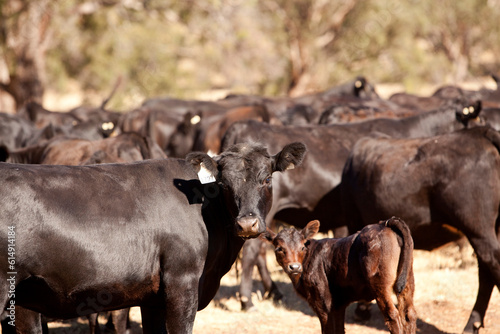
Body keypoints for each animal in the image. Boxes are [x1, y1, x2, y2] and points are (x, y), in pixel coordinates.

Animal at [264, 218, 416, 332]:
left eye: (302, 247)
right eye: (279, 248)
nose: (294, 267)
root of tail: (385, 223)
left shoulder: (323, 304)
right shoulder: (338, 305)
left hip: (379, 283)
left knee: (393, 315)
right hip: (407, 280)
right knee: (409, 314)